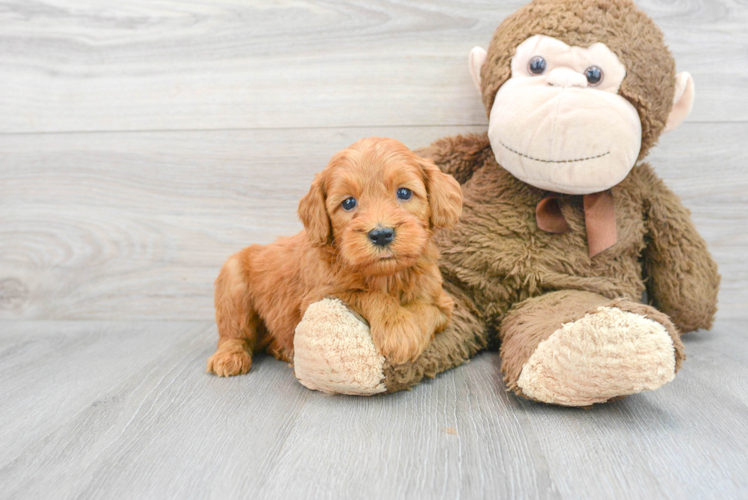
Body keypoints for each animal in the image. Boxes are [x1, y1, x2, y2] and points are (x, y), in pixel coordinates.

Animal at [205, 135, 462, 376]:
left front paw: (408, 331)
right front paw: (397, 329)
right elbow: (368, 294)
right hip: (233, 285)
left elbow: (426, 310)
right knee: (234, 333)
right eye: (348, 202)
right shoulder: (319, 296)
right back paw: (229, 357)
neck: (387, 275)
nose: (381, 234)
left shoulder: (443, 303)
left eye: (404, 192)